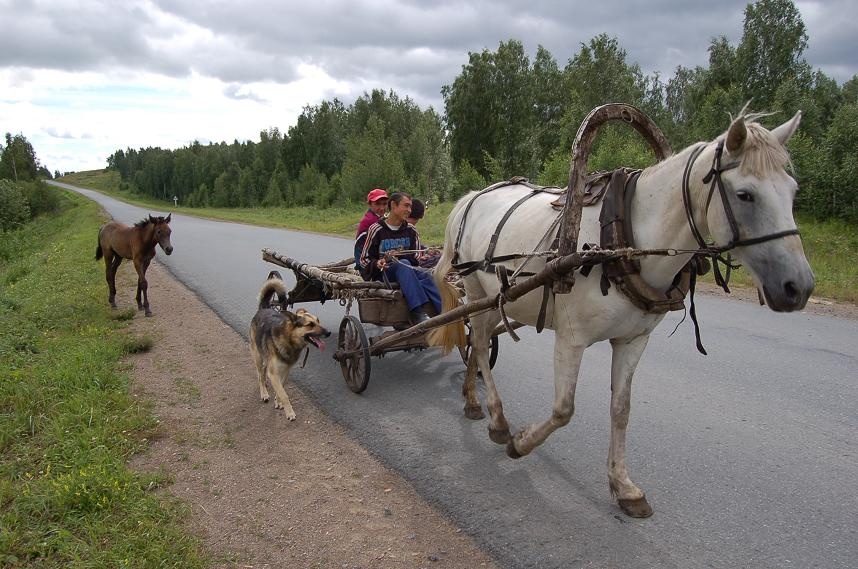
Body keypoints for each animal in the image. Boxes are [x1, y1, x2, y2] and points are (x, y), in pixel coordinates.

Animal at [249, 278, 330, 420]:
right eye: (310, 324)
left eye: (318, 321)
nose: (328, 332)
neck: (289, 340)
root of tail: (264, 308)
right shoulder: (274, 373)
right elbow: (284, 393)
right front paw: (290, 412)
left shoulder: (285, 371)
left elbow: (281, 388)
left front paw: (278, 402)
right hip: (257, 356)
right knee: (260, 375)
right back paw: (264, 392)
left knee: (263, 372)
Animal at [432, 110, 812, 516]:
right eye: (745, 194)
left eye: (793, 192)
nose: (799, 286)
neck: (622, 242)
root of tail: (472, 197)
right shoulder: (570, 339)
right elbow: (563, 409)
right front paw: (520, 443)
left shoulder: (633, 340)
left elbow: (621, 408)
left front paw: (624, 485)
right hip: (475, 288)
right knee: (480, 343)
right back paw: (498, 419)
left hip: (489, 299)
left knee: (477, 339)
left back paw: (472, 400)